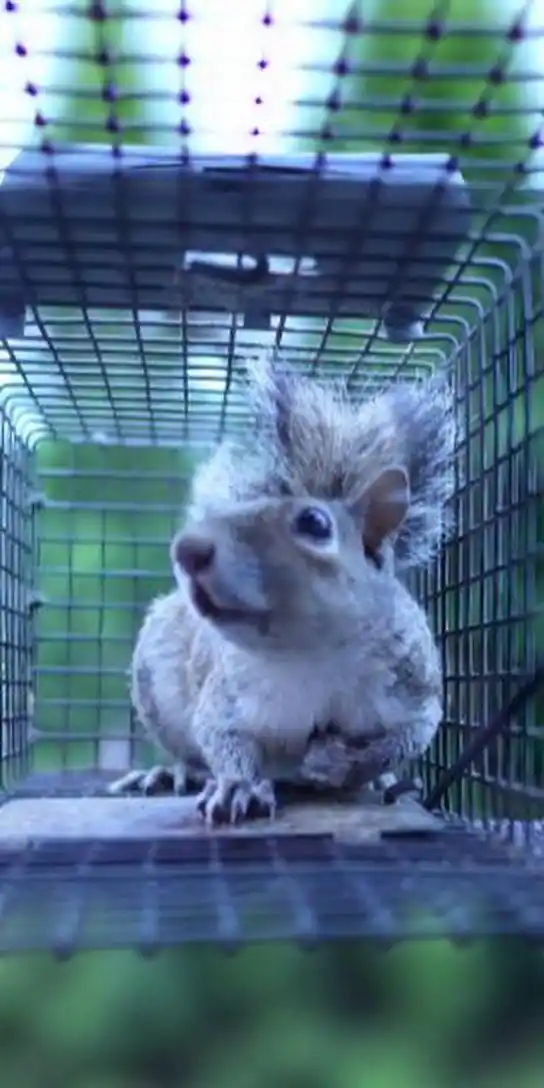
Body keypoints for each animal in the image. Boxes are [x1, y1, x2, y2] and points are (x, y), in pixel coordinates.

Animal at [108, 355, 456, 823]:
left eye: (314, 523)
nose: (186, 549)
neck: (312, 653)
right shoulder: (226, 698)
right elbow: (222, 740)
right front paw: (236, 787)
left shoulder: (415, 692)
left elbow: (401, 741)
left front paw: (342, 763)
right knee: (189, 751)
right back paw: (175, 773)